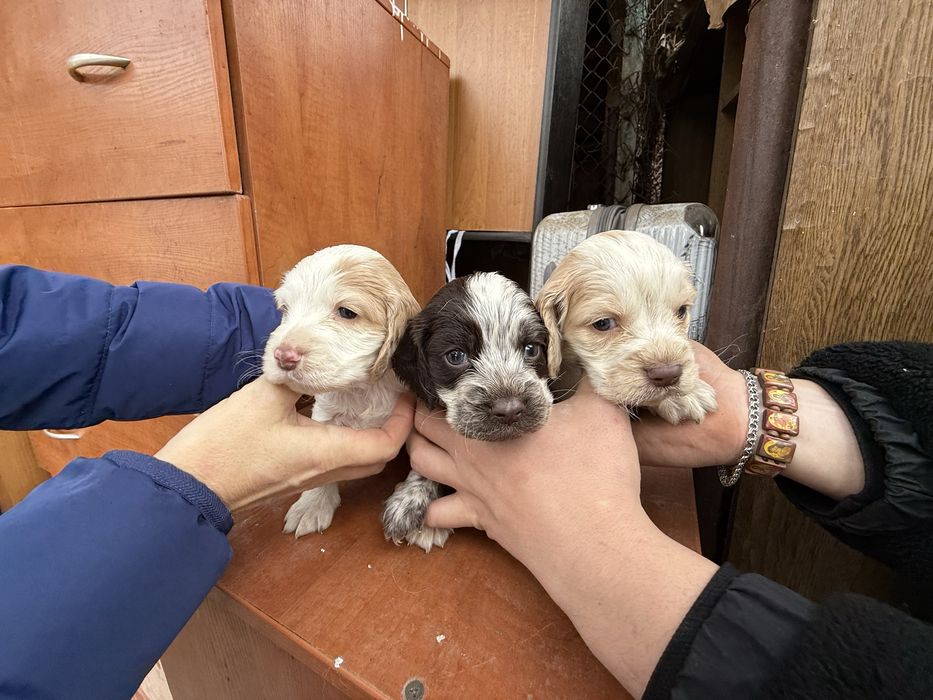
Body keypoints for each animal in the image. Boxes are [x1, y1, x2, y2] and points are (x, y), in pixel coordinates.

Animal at [261, 245, 420, 538]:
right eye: (285, 309)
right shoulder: (326, 414)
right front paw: (312, 504)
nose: (283, 356)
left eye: (346, 312)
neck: (363, 388)